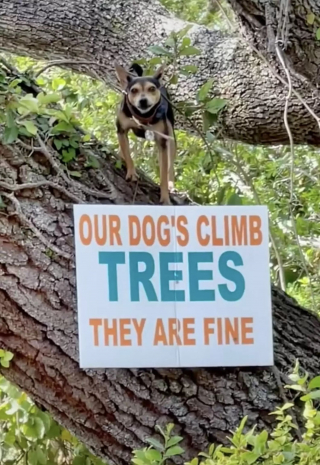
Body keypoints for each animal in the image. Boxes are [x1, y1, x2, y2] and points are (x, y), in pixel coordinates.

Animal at [114, 62, 176, 205]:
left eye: (152, 89)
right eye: (134, 90)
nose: (143, 101)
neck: (143, 117)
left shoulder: (162, 142)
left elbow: (163, 174)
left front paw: (165, 197)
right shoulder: (121, 130)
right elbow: (128, 155)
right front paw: (131, 173)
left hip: (171, 136)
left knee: (170, 165)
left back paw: (171, 184)